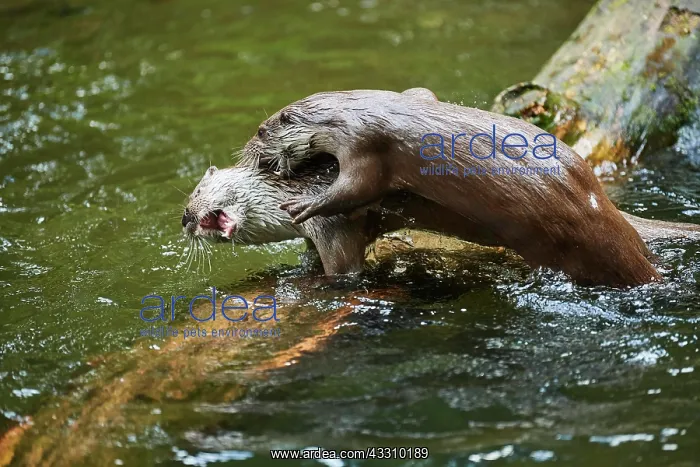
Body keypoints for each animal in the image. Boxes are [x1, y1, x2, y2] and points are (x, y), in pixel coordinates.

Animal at [238, 88, 677, 287]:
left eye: (259, 131)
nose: (248, 150)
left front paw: (308, 204)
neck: (358, 109)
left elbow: (356, 187)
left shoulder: (364, 145)